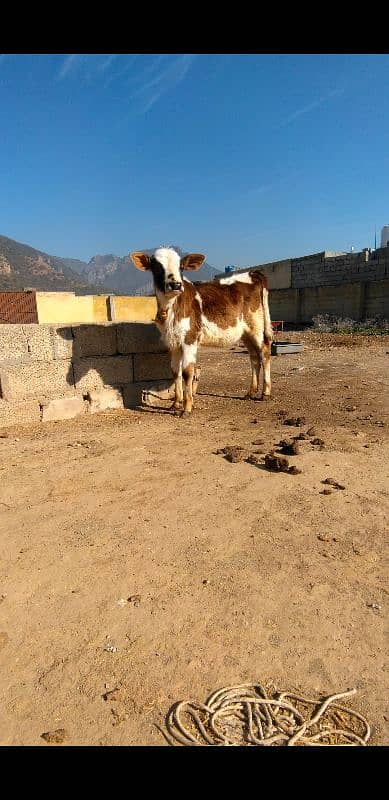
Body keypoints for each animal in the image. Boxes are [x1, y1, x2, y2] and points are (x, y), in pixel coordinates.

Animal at [129, 247, 272, 416]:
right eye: (157, 267)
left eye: (181, 267)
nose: (175, 284)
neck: (171, 307)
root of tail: (253, 273)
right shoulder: (173, 342)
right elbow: (175, 371)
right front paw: (176, 404)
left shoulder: (189, 339)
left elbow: (187, 372)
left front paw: (187, 407)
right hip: (245, 332)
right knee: (254, 357)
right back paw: (250, 392)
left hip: (256, 326)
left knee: (264, 352)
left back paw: (266, 393)